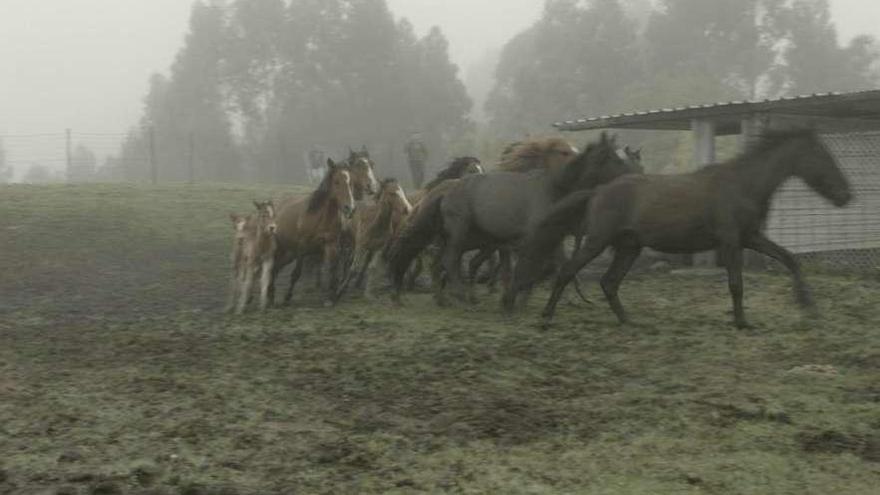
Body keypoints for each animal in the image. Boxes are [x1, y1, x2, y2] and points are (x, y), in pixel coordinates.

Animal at [270, 159, 356, 306]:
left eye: (350, 182)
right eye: (336, 181)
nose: (349, 208)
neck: (320, 216)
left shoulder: (331, 245)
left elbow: (333, 270)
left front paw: (331, 297)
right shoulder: (302, 247)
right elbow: (296, 273)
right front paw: (287, 297)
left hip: (289, 253)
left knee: (275, 268)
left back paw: (270, 295)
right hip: (283, 249)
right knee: (272, 268)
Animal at [388, 133, 636, 306]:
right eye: (615, 159)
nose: (636, 175)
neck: (554, 189)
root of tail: (444, 190)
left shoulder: (548, 239)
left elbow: (549, 266)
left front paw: (520, 297)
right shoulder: (529, 239)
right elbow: (529, 267)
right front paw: (512, 297)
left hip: (460, 237)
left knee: (439, 261)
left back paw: (444, 298)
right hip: (460, 233)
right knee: (449, 260)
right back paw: (461, 295)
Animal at [516, 130, 852, 328]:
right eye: (823, 158)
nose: (845, 196)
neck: (743, 185)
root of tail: (598, 190)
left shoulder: (751, 238)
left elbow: (789, 259)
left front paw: (808, 305)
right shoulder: (731, 241)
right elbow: (736, 284)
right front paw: (743, 323)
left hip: (629, 246)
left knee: (609, 282)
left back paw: (630, 321)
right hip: (598, 241)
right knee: (569, 271)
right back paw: (546, 317)